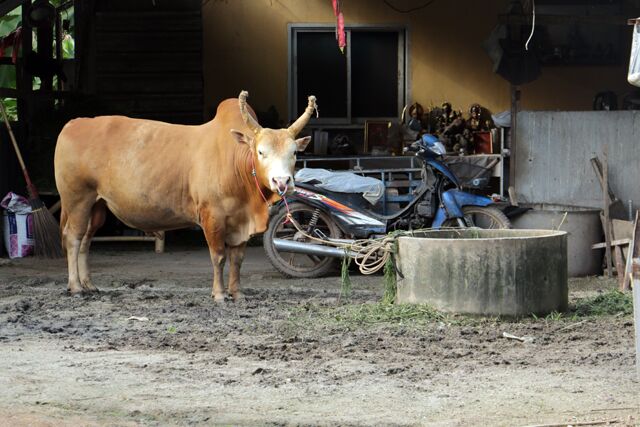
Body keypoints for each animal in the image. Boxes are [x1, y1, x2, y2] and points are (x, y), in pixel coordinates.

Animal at [54, 91, 316, 300]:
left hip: (97, 204)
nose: (282, 182)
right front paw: (219, 294)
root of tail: (73, 124)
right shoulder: (212, 216)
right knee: (73, 238)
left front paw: (237, 293)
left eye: (294, 152)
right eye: (261, 152)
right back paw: (75, 286)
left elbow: (237, 259)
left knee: (87, 239)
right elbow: (219, 256)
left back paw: (89, 284)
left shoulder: (241, 221)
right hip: (77, 199)